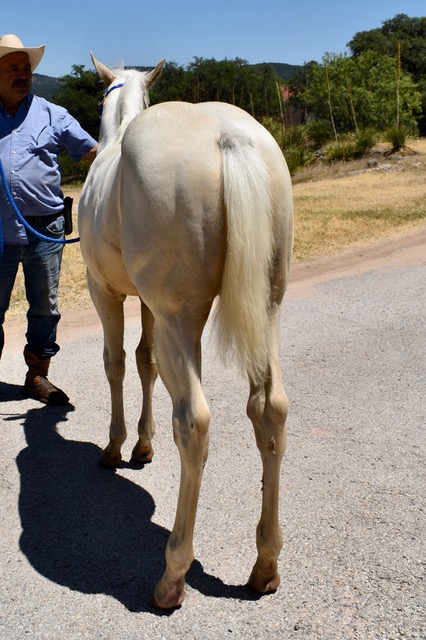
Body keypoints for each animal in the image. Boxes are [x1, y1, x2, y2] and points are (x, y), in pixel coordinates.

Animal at [78, 55, 294, 608]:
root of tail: (227, 135)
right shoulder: (149, 307)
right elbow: (145, 361)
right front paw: (142, 445)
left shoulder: (106, 292)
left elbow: (116, 364)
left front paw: (116, 447)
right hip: (268, 310)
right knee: (270, 411)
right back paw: (265, 565)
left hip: (181, 319)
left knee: (194, 423)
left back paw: (172, 575)